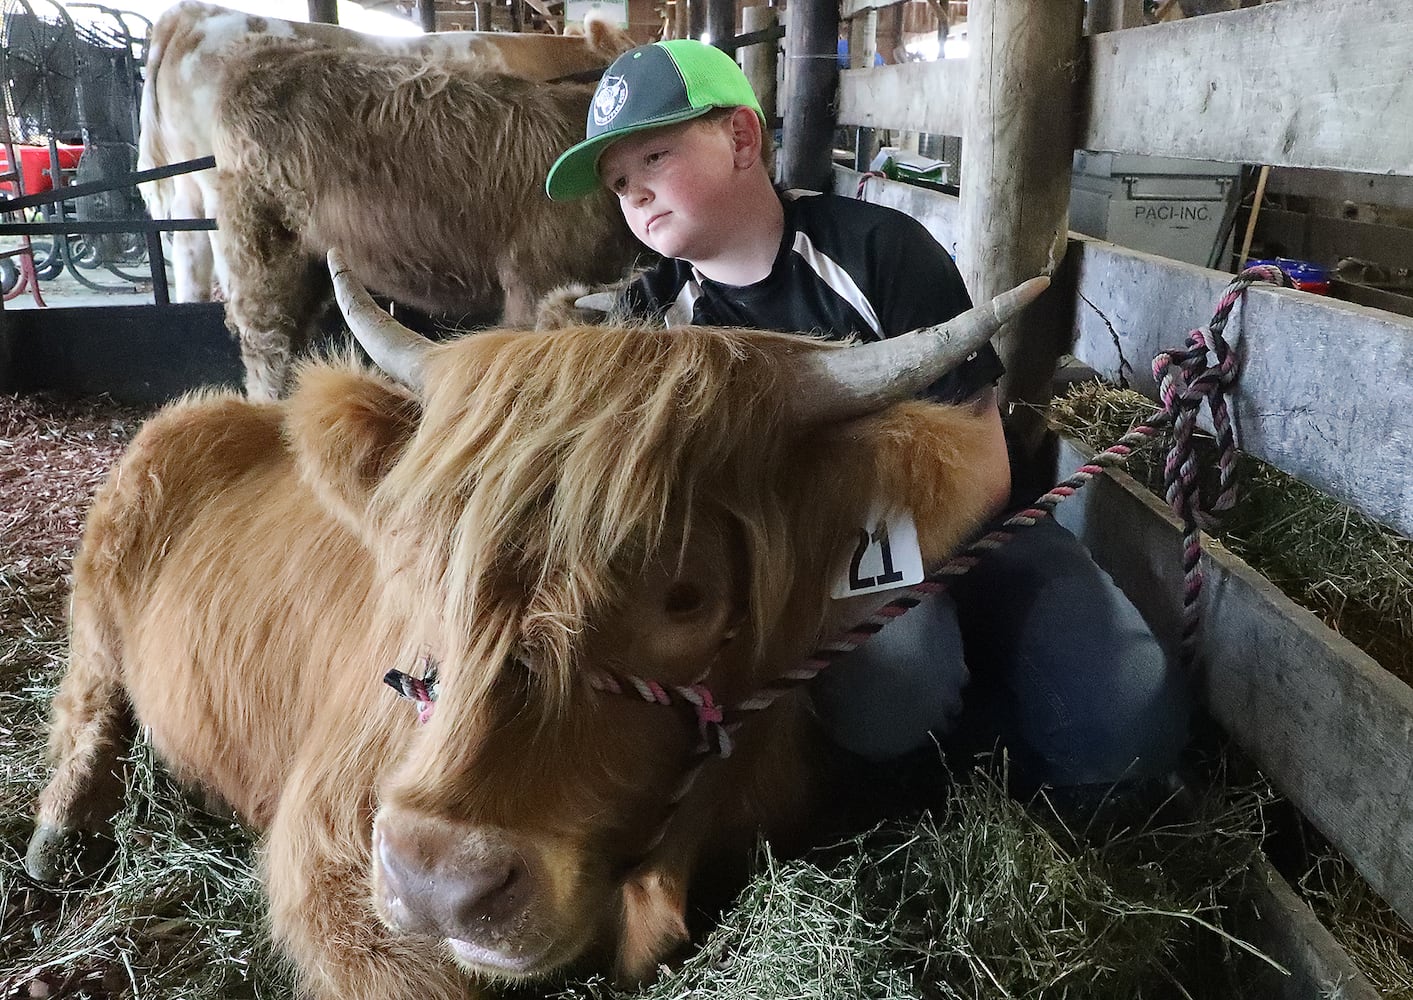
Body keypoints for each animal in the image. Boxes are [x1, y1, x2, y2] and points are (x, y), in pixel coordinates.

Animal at [24, 254, 1051, 994]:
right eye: (424, 556)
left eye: (686, 594)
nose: (438, 878)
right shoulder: (328, 868)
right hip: (99, 603)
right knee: (84, 710)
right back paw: (55, 840)